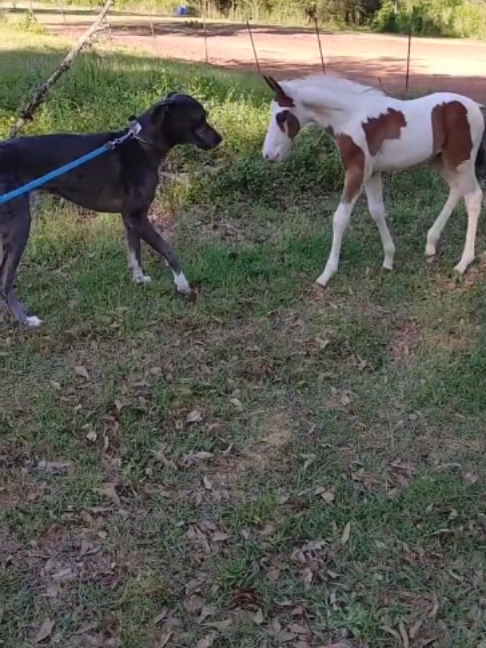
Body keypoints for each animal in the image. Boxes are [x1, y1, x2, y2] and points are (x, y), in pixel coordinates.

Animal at [261, 73, 485, 289]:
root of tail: (476, 106)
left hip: (461, 160)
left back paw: (463, 262)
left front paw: (326, 274)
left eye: (281, 116)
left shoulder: (356, 170)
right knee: (456, 190)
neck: (349, 117)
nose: (268, 155)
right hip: (441, 161)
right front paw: (389, 258)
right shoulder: (372, 173)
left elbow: (340, 218)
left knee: (473, 197)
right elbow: (376, 211)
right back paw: (431, 243)